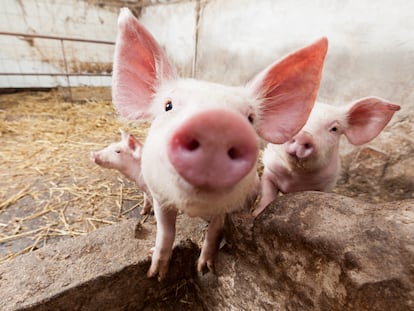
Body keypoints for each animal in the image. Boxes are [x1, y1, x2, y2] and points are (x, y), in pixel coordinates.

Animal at [111, 7, 328, 280]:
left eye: (250, 118)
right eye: (168, 105)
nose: (217, 122)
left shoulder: (231, 206)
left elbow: (215, 230)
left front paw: (205, 269)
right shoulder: (159, 194)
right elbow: (166, 231)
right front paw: (156, 274)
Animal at [254, 97, 400, 217]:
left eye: (334, 129)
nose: (304, 136)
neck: (296, 178)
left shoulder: (328, 183)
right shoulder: (270, 170)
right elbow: (267, 194)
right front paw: (256, 213)